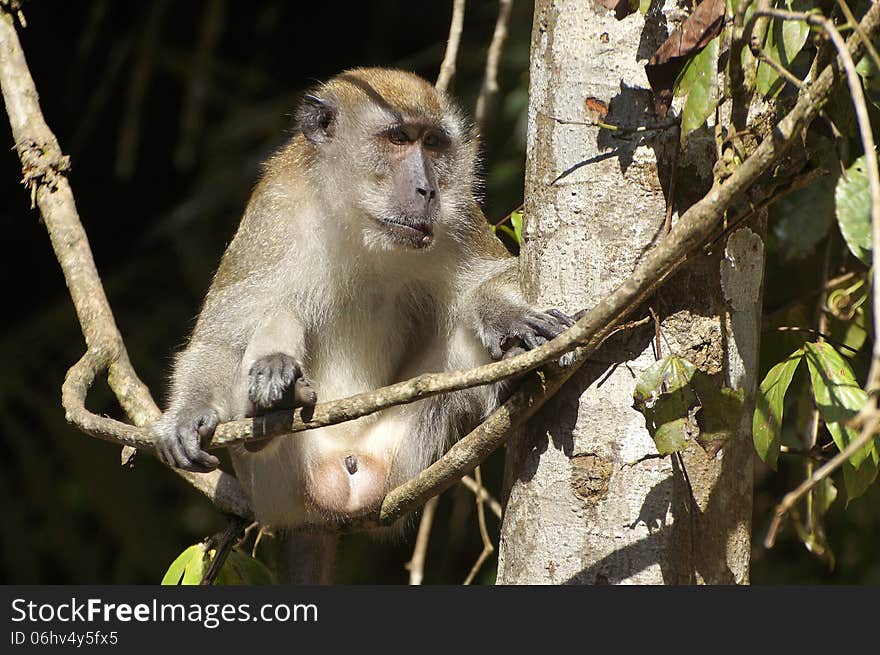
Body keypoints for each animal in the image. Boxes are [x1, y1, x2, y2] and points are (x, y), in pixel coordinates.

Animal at [155, 66, 576, 532]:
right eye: (398, 139)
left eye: (433, 143)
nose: (427, 190)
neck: (360, 223)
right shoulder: (273, 213)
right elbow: (222, 337)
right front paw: (188, 414)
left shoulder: (458, 213)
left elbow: (486, 280)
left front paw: (510, 318)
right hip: (276, 487)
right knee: (280, 312)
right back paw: (273, 400)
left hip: (402, 450)